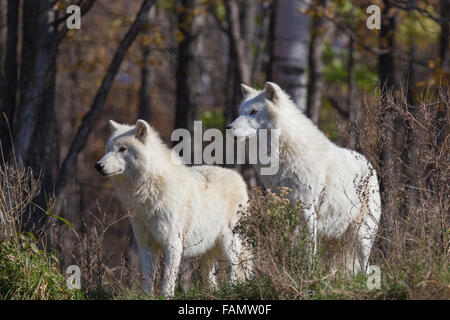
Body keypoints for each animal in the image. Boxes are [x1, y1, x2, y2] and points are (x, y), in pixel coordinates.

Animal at [95, 120, 250, 298]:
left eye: (122, 149)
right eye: (108, 149)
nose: (98, 165)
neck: (148, 192)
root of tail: (238, 178)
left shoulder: (173, 243)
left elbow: (168, 280)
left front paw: (166, 296)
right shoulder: (146, 243)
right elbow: (148, 278)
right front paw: (148, 297)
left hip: (228, 242)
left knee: (235, 267)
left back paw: (232, 290)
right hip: (207, 250)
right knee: (211, 275)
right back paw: (213, 292)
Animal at [229, 82, 380, 272]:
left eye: (254, 111)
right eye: (241, 112)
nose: (228, 128)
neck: (283, 151)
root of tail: (369, 163)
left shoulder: (307, 210)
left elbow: (308, 250)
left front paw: (308, 272)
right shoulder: (286, 210)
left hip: (362, 236)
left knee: (364, 267)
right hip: (333, 241)